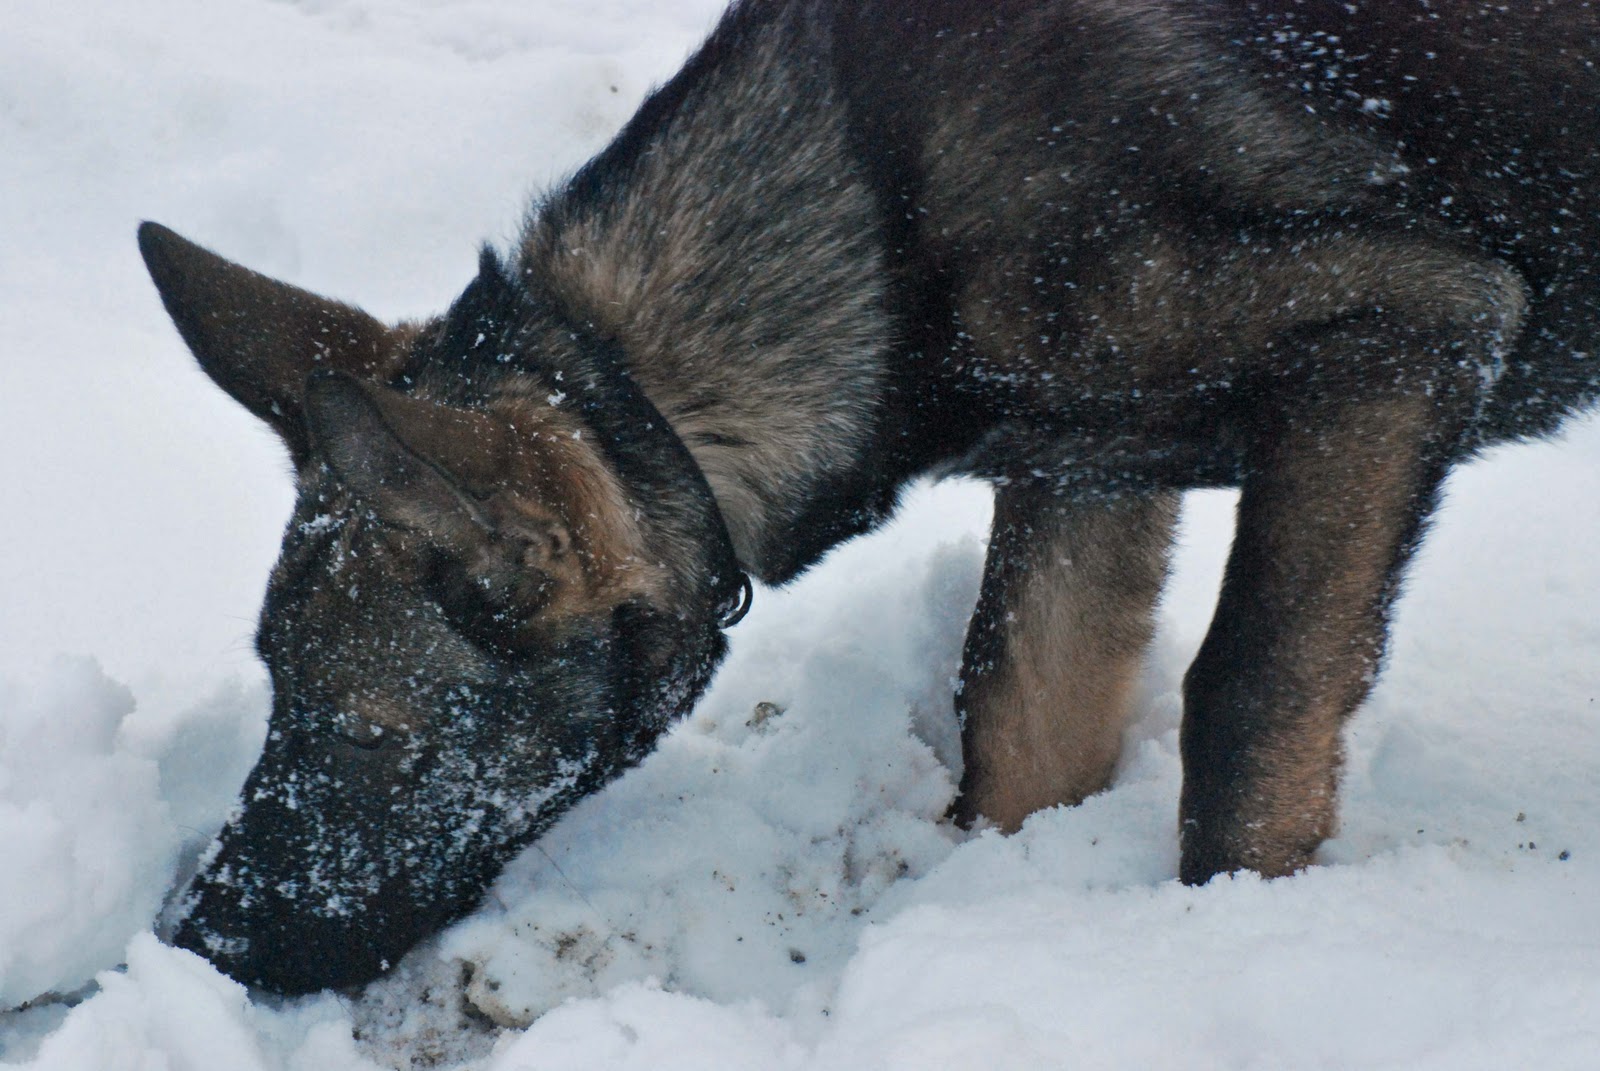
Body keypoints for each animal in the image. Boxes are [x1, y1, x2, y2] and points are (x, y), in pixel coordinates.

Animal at [137, 0, 1600, 992]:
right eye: (273, 695)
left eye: (368, 735)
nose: (195, 936)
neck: (878, 224)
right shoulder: (1088, 469)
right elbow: (1015, 719)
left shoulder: (1410, 330)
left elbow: (1247, 697)